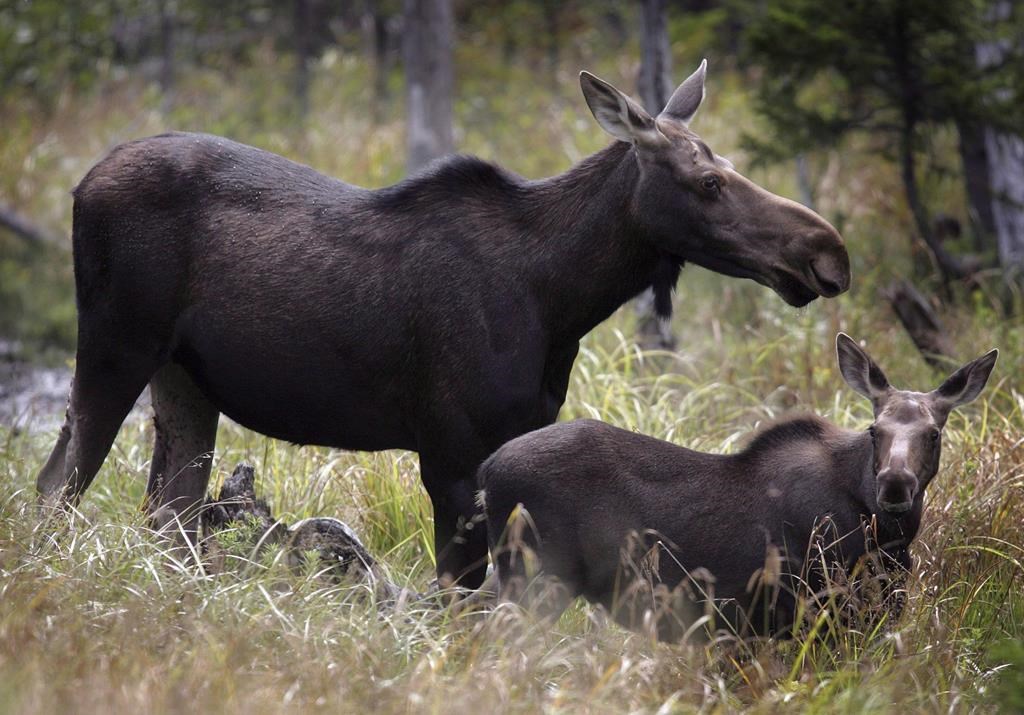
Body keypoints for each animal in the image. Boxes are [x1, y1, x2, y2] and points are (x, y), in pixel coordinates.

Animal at [36, 60, 849, 589]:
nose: (827, 252)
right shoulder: (453, 453)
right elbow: (458, 596)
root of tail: (79, 183)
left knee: (165, 514)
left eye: (731, 164)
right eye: (709, 182)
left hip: (184, 380)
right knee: (57, 483)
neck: (561, 297)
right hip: (113, 346)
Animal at [479, 334, 997, 637]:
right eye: (875, 430)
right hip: (535, 577)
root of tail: (486, 472)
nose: (893, 484)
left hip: (510, 572)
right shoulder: (817, 609)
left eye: (934, 433)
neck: (890, 540)